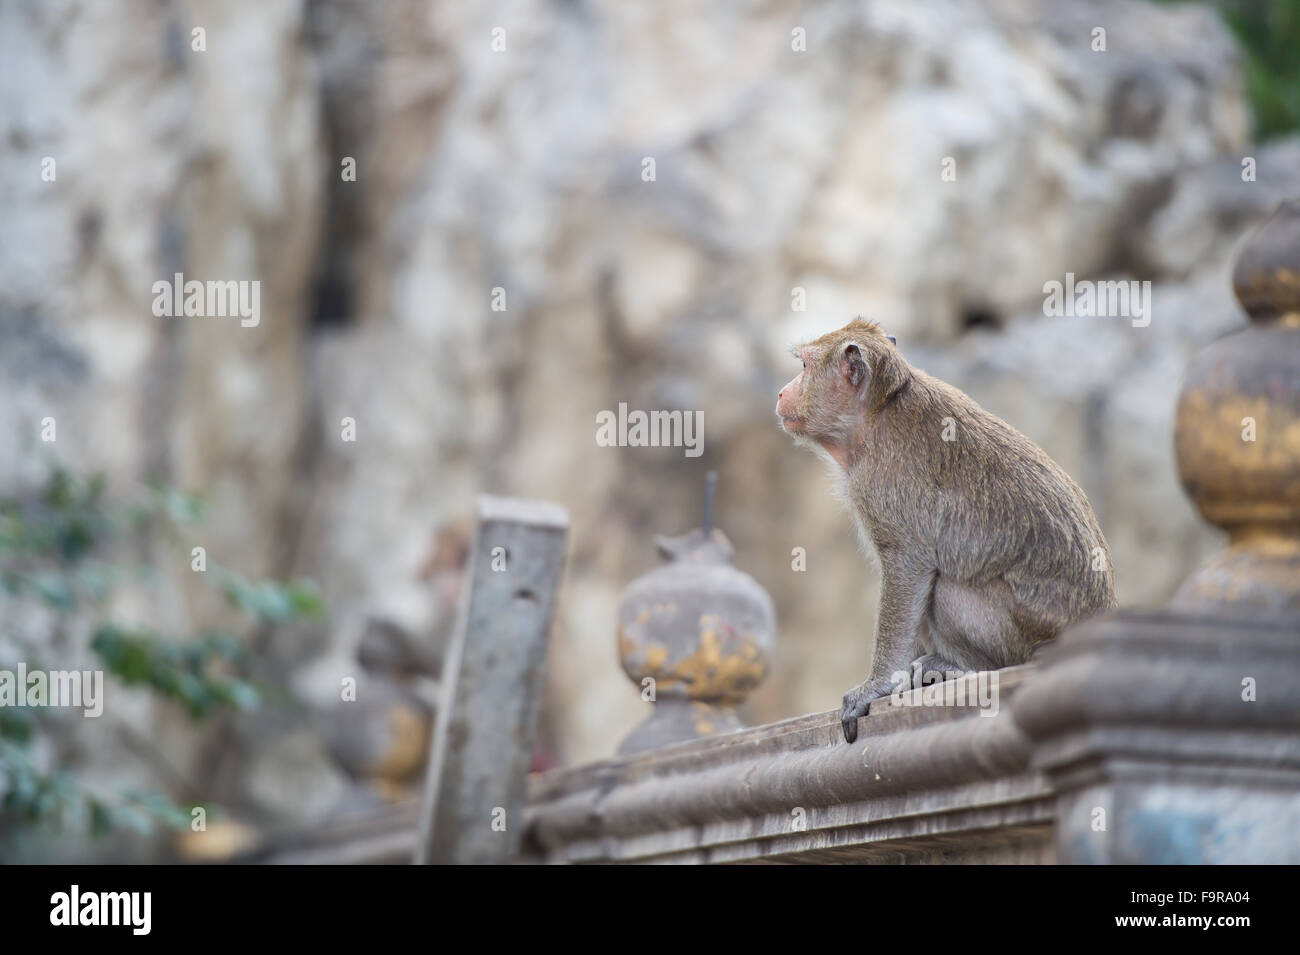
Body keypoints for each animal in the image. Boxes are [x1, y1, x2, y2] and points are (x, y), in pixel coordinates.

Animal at [769, 317, 1118, 743]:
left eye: (804, 366)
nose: (782, 391)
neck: (878, 411)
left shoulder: (882, 484)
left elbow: (909, 568)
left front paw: (877, 686)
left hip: (1017, 636)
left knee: (948, 587)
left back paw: (969, 667)